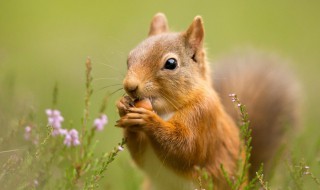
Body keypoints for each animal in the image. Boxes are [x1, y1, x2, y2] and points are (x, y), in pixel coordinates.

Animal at [115, 12, 300, 189]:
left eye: (171, 63)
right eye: (129, 58)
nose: (130, 86)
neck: (165, 111)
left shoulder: (203, 116)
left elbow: (186, 149)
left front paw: (148, 120)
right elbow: (139, 155)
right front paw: (123, 106)